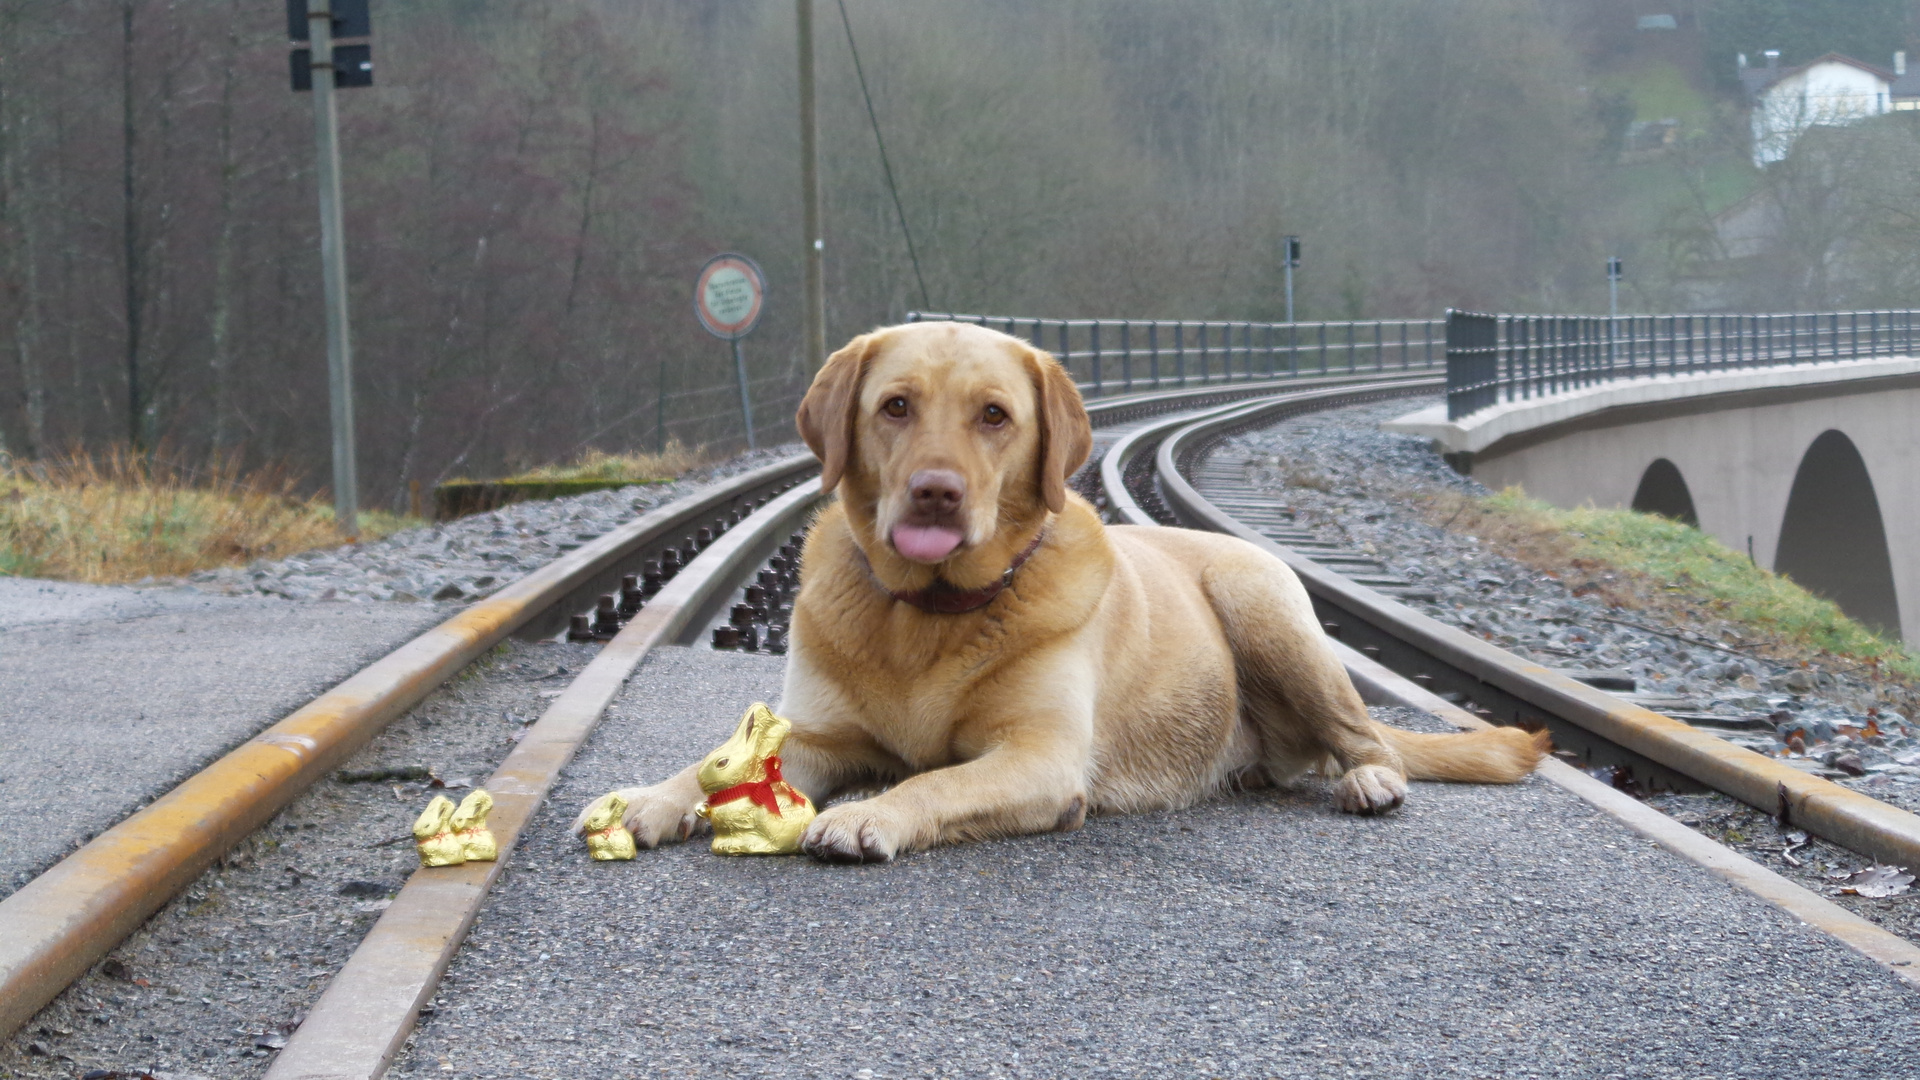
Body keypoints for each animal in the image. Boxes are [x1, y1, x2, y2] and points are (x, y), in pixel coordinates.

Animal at [576, 319, 1551, 857]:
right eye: (895, 406)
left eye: (994, 416)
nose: (937, 491)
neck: (928, 614)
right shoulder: (817, 734)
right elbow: (713, 766)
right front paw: (653, 800)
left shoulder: (1040, 759)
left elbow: (933, 784)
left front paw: (868, 815)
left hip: (1263, 603)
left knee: (1369, 740)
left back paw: (1373, 782)